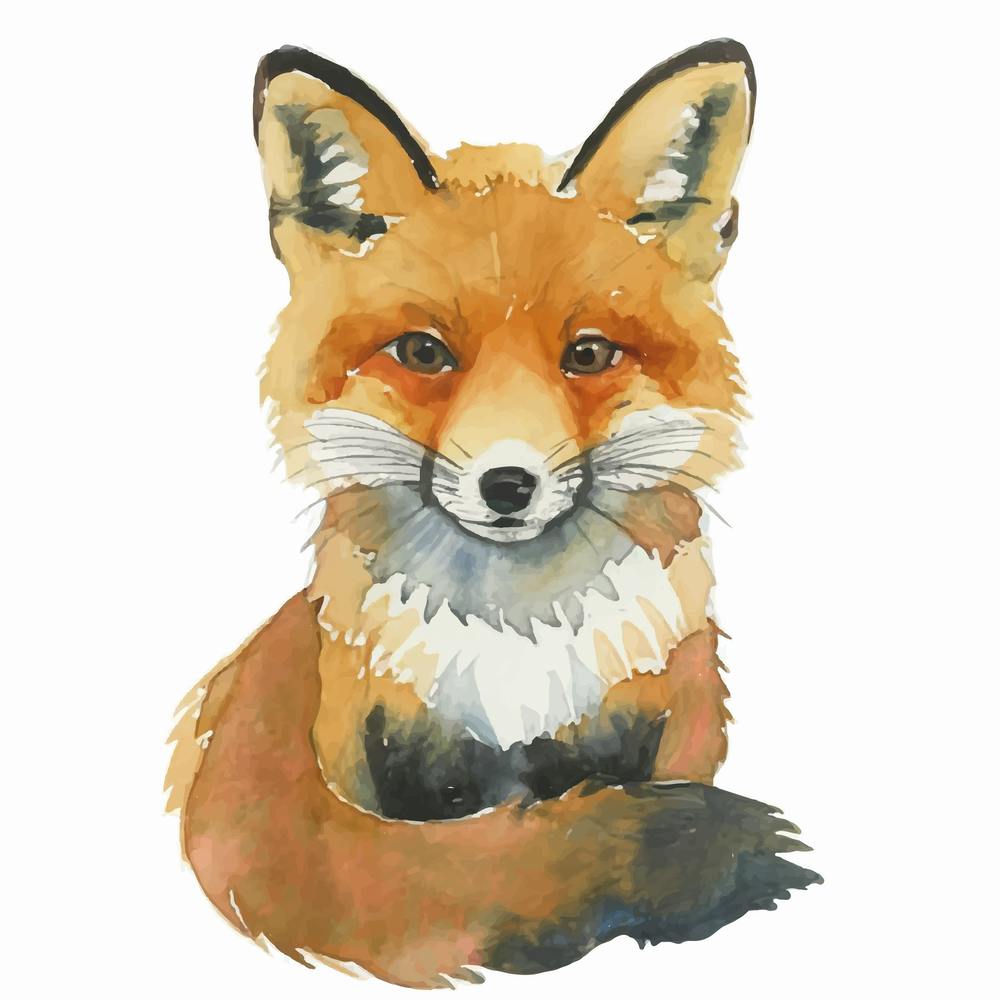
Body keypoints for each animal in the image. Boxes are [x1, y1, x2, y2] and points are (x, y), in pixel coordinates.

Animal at [166, 38, 821, 988]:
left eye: (588, 353)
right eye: (422, 352)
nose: (507, 485)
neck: (514, 648)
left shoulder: (677, 729)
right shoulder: (363, 757)